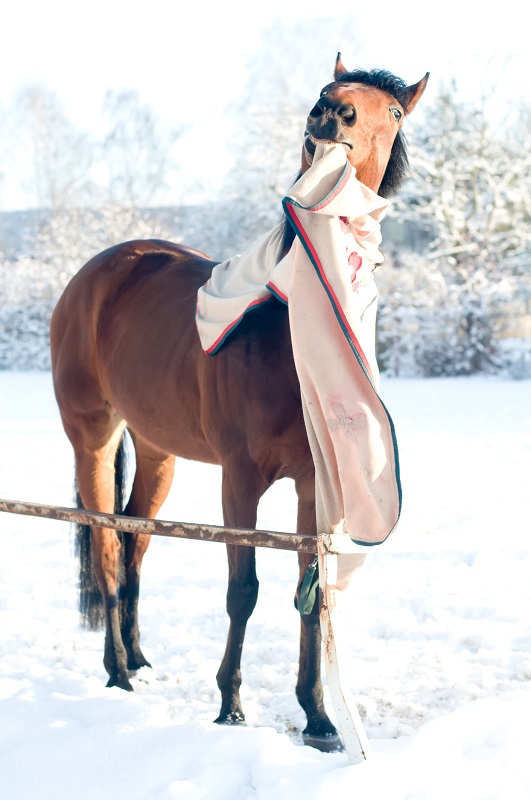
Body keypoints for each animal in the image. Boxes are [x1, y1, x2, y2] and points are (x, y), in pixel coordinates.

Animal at [50, 54, 428, 751]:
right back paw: (117, 673)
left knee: (137, 542)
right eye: (328, 88)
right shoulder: (240, 480)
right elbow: (242, 589)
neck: (285, 331)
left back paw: (137, 658)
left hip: (157, 452)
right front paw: (230, 706)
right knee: (109, 547)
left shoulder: (314, 488)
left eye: (392, 111)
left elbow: (309, 593)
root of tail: (100, 272)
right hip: (92, 437)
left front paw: (319, 718)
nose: (330, 114)